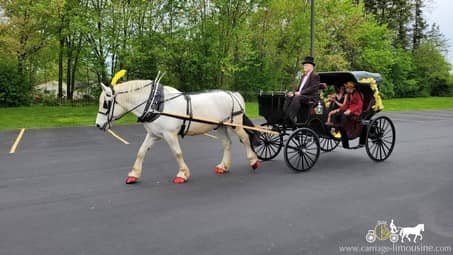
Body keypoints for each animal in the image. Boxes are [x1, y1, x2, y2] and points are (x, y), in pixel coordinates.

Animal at [94, 80, 260, 184]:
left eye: (106, 104)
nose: (98, 125)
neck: (156, 105)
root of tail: (232, 94)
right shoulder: (153, 135)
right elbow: (141, 152)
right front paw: (133, 175)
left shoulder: (170, 134)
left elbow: (177, 153)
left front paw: (182, 174)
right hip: (219, 126)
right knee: (227, 144)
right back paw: (223, 166)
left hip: (235, 124)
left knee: (245, 138)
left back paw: (253, 161)